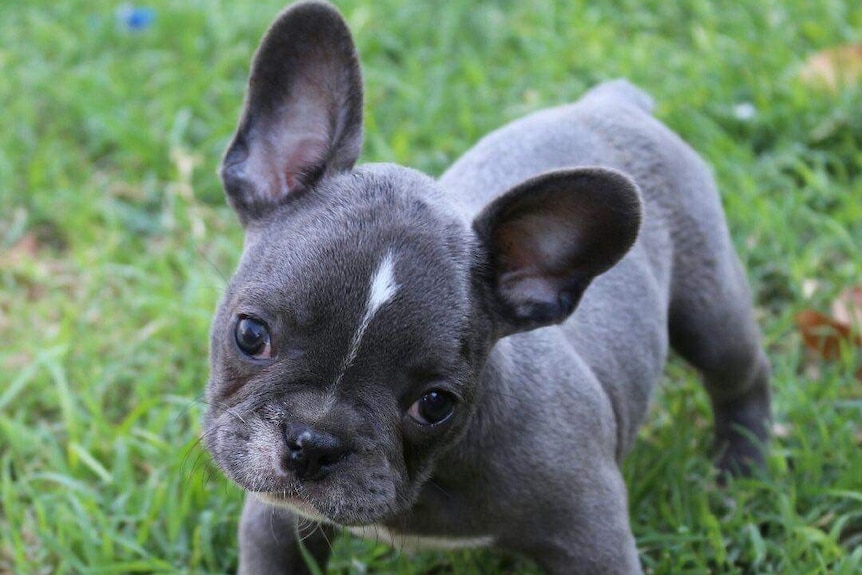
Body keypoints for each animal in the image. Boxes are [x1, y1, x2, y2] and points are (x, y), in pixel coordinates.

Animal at [204, 2, 776, 572]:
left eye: (435, 404)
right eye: (251, 335)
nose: (314, 443)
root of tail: (612, 103)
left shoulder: (592, 537)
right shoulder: (276, 522)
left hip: (709, 306)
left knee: (740, 372)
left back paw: (741, 470)